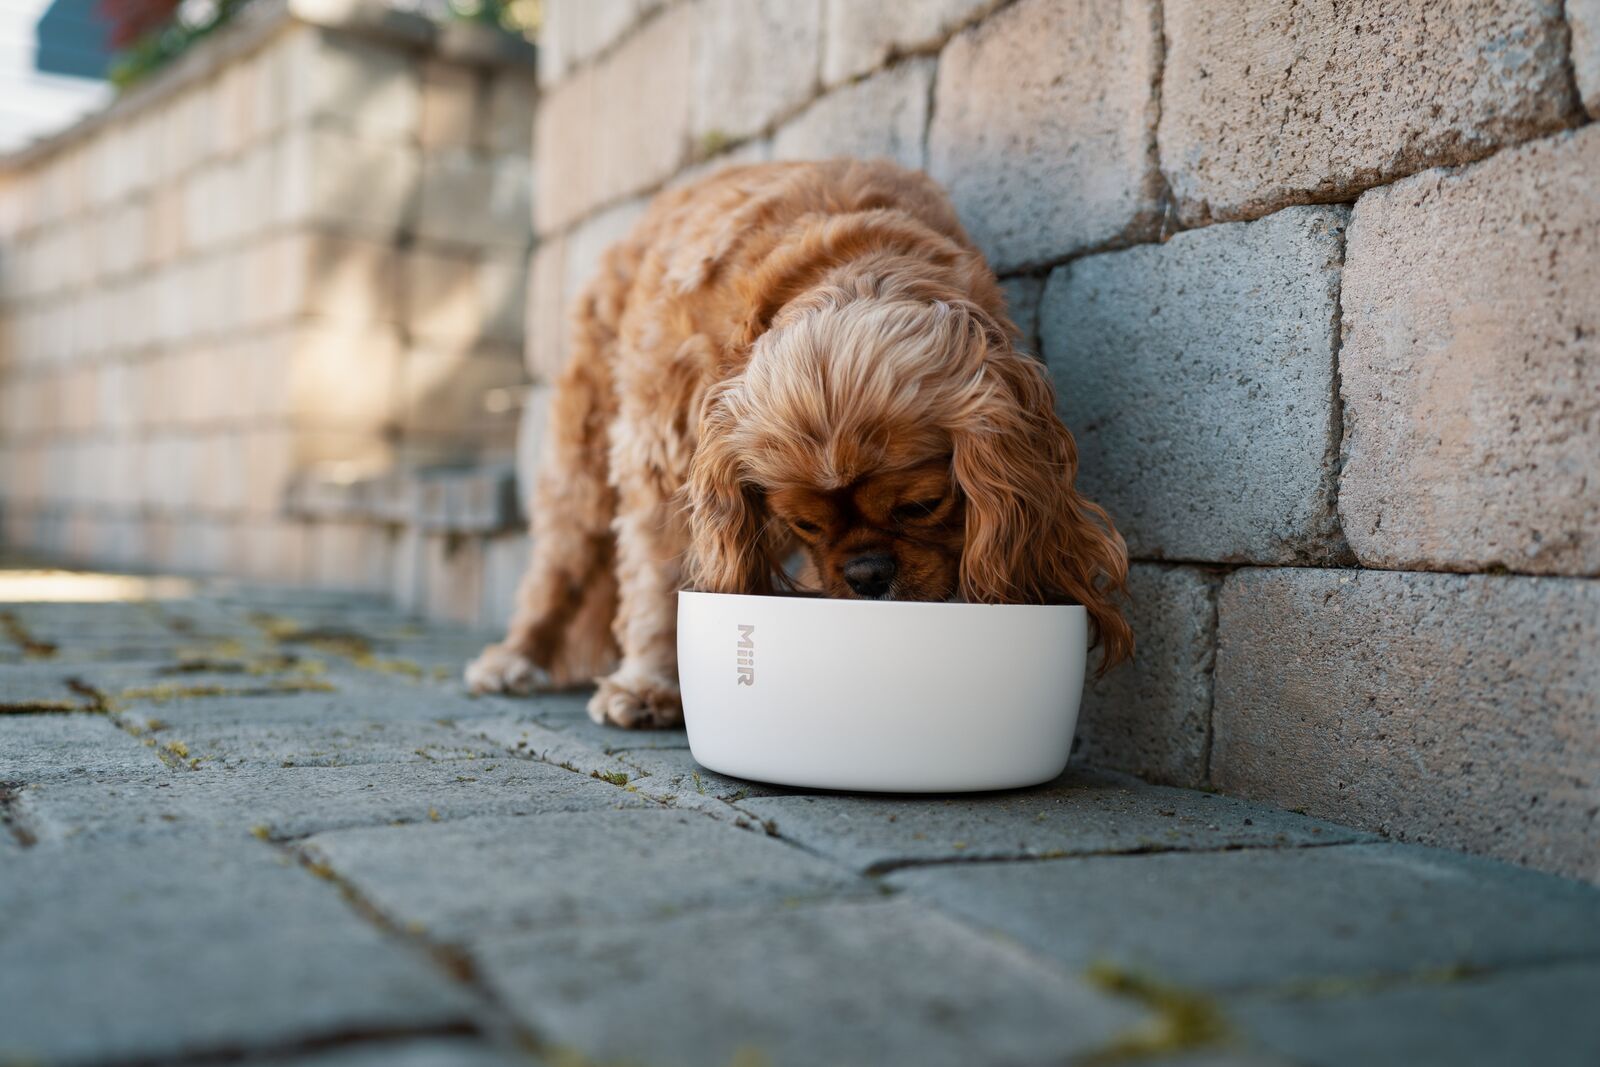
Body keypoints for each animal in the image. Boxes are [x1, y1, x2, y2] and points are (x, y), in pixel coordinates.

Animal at [467, 160, 1132, 726]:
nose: (867, 574)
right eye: (805, 525)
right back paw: (514, 656)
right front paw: (649, 684)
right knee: (559, 561)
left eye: (921, 506)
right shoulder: (665, 453)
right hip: (582, 448)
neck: (855, 262)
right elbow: (659, 574)